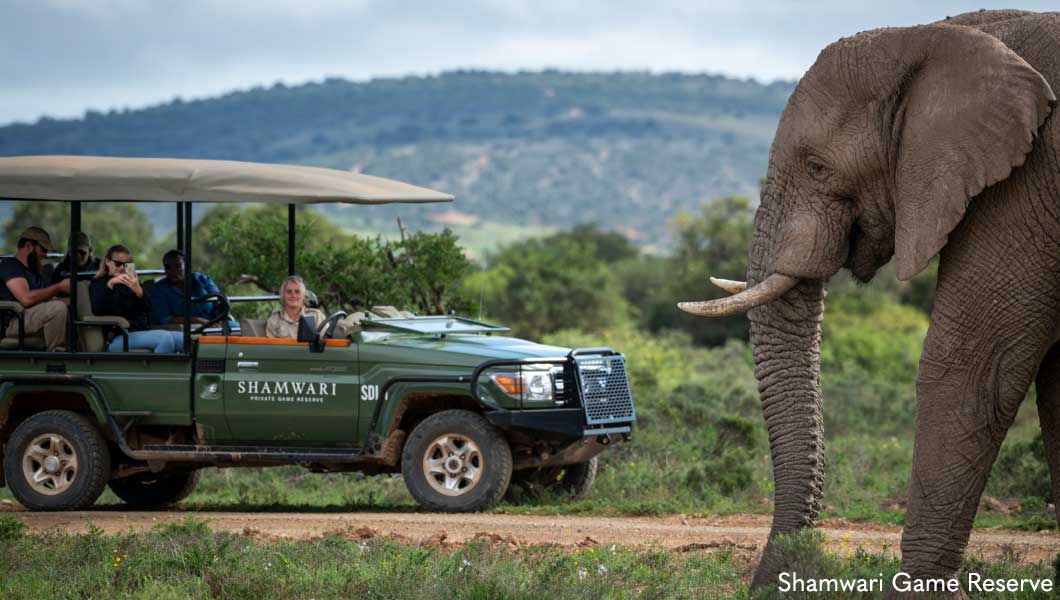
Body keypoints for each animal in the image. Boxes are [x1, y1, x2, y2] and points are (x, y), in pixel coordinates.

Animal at [679, 9, 1060, 597]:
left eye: (816, 167)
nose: (769, 582)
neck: (946, 34)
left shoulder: (1025, 185)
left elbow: (971, 367)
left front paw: (918, 586)